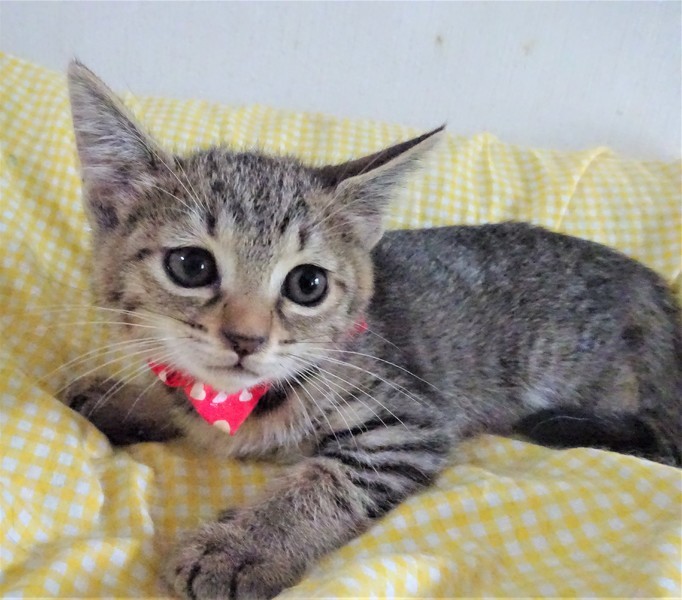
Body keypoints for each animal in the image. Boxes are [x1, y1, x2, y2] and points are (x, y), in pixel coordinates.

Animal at [63, 61, 682, 600]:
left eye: (307, 284)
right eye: (191, 266)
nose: (246, 339)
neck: (238, 402)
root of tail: (657, 291)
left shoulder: (407, 425)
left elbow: (325, 481)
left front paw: (238, 548)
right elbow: (181, 404)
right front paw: (125, 398)